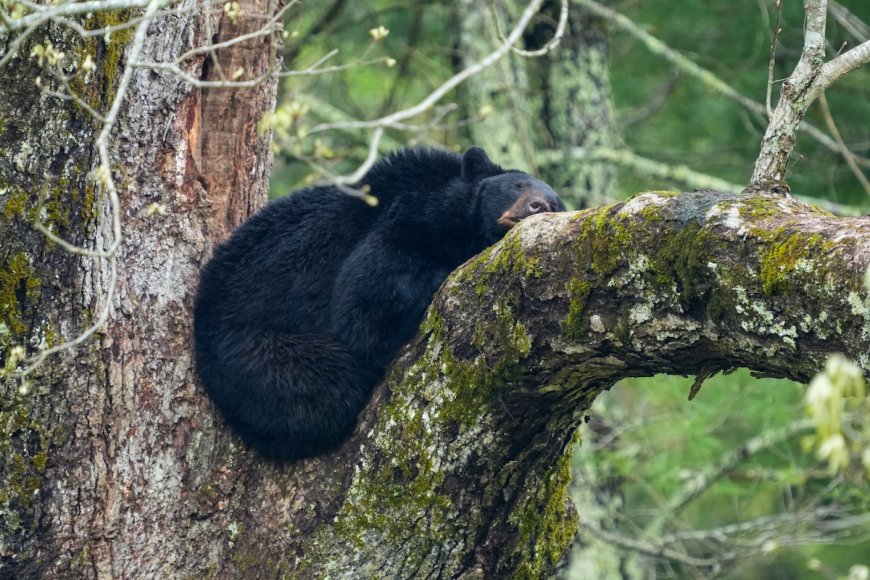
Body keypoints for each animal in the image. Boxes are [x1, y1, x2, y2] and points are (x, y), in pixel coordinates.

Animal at [193, 146, 566, 461]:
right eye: (518, 184)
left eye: (557, 204)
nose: (539, 205)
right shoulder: (407, 220)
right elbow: (367, 302)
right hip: (257, 349)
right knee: (327, 387)